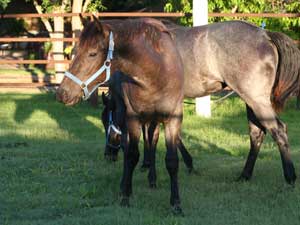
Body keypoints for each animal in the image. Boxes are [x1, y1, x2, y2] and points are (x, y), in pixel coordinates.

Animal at [56, 17, 185, 214]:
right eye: (75, 51)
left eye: (92, 54)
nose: (62, 93)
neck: (157, 72)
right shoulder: (132, 119)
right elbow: (131, 155)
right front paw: (125, 194)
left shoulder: (173, 119)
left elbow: (171, 161)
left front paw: (176, 204)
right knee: (128, 146)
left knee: (152, 141)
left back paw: (151, 178)